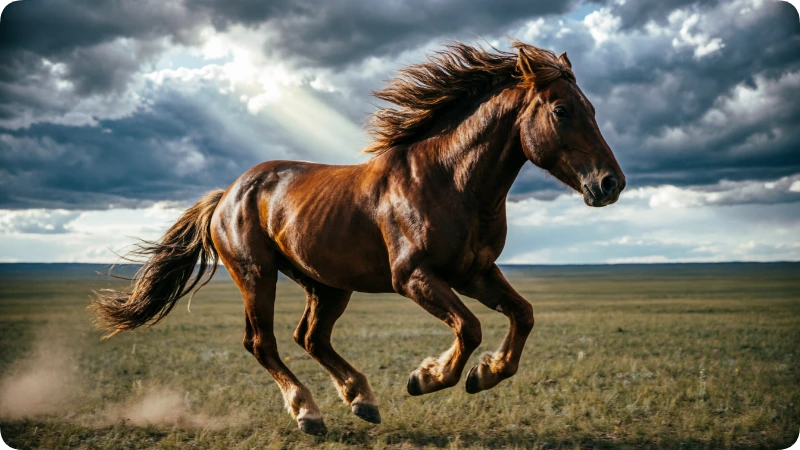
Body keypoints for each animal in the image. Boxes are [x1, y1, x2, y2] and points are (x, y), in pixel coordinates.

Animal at [91, 40, 625, 435]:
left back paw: (361, 400)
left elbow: (523, 314)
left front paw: (484, 374)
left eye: (593, 108)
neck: (450, 180)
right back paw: (308, 413)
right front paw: (427, 377)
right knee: (262, 342)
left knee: (310, 337)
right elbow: (470, 328)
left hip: (327, 284)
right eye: (561, 110)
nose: (610, 184)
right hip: (257, 275)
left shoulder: (474, 272)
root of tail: (226, 195)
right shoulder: (414, 277)